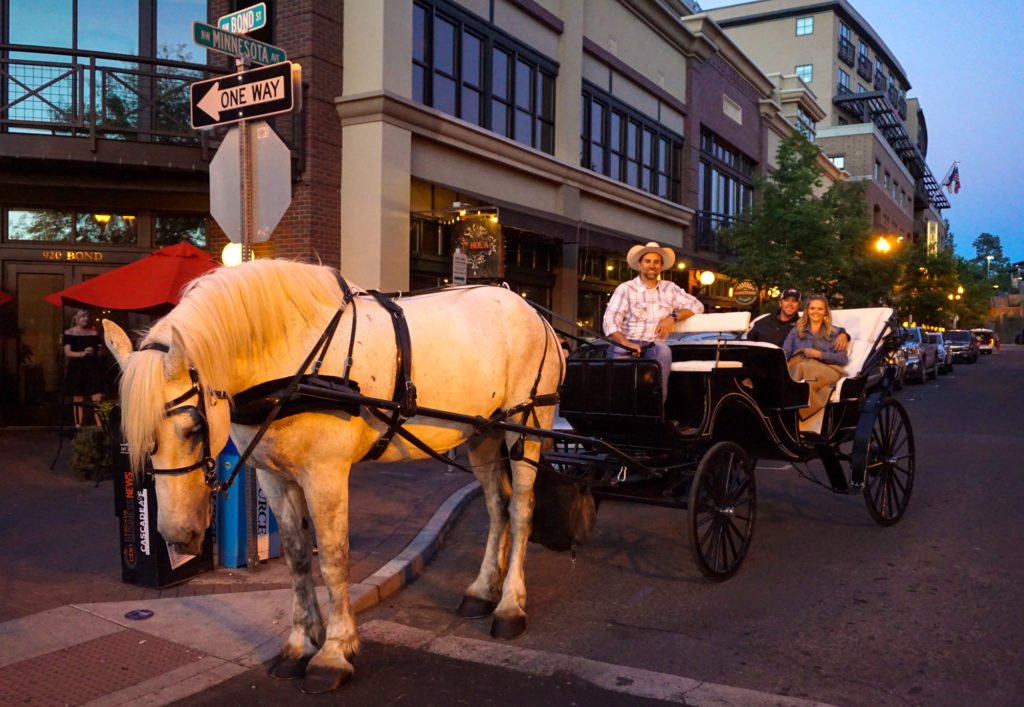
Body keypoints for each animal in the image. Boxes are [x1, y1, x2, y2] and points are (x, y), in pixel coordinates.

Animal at [100, 257, 565, 688]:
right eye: (135, 437)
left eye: (193, 428)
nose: (178, 537)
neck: (290, 358)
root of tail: (531, 309)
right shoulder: (274, 477)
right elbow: (298, 557)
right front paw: (300, 643)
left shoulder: (325, 473)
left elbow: (334, 557)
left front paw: (334, 651)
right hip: (484, 435)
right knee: (497, 507)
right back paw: (482, 591)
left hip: (527, 427)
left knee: (521, 511)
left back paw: (510, 605)